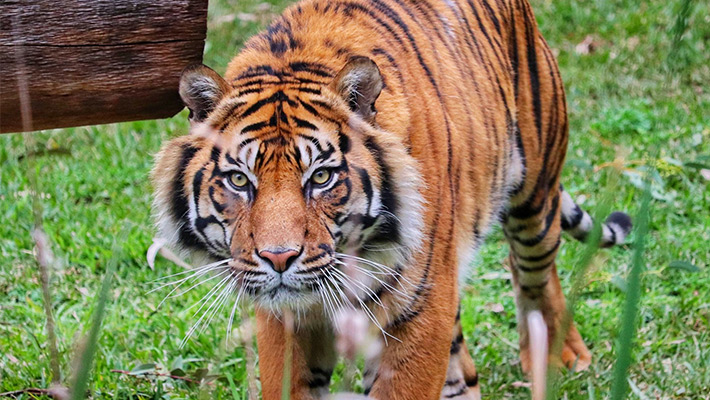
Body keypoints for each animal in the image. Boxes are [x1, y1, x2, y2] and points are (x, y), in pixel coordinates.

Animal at [152, 0, 636, 396]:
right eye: (239, 181)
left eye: (322, 177)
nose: (278, 258)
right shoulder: (284, 320)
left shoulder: (419, 310)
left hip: (534, 193)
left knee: (535, 273)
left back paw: (557, 355)